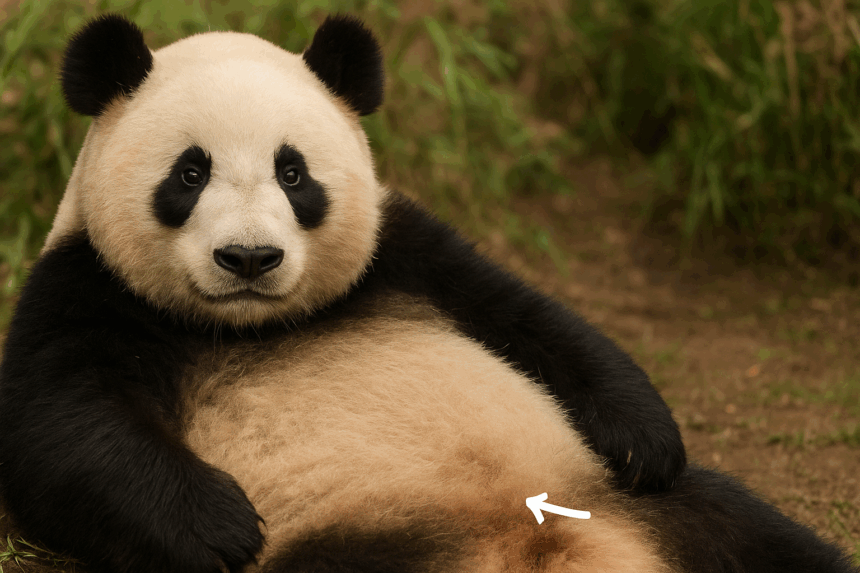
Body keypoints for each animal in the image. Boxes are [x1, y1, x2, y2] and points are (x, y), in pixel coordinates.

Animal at [0, 13, 856, 573]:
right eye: (189, 172)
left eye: (292, 171)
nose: (249, 258)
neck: (247, 325)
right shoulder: (84, 287)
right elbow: (62, 433)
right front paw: (221, 526)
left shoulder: (404, 253)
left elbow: (532, 317)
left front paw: (646, 435)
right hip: (353, 544)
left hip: (644, 507)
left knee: (758, 534)